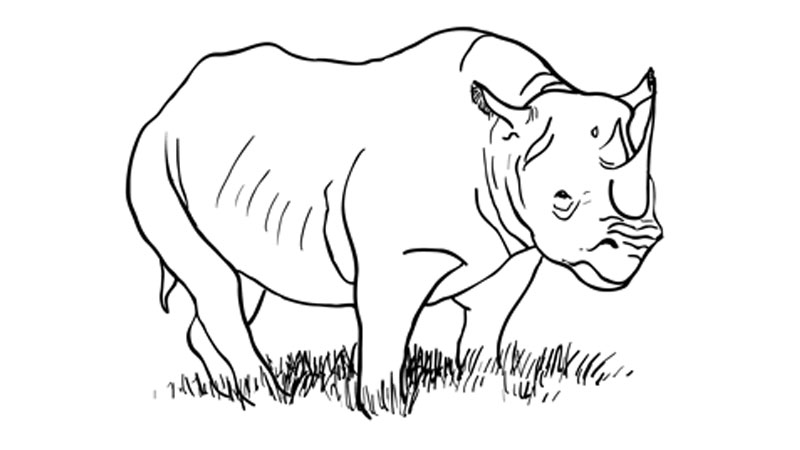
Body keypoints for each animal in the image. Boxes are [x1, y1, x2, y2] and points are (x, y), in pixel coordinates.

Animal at [127, 27, 662, 415]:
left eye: (652, 188)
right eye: (562, 199)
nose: (636, 248)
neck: (499, 143)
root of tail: (172, 101)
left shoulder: (517, 250)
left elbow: (488, 327)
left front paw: (485, 396)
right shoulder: (398, 261)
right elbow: (386, 338)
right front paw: (383, 414)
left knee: (244, 279)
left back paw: (238, 397)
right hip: (152, 155)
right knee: (215, 282)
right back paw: (268, 397)